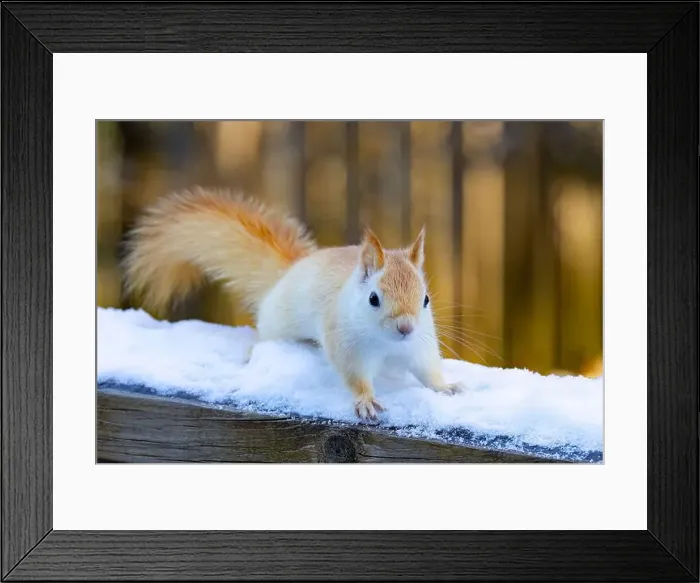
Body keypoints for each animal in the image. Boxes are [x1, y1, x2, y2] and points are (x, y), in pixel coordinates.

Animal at [122, 187, 464, 420]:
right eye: (373, 299)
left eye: (426, 299)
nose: (405, 327)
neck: (387, 344)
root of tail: (288, 273)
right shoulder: (346, 343)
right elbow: (355, 376)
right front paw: (366, 401)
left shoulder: (419, 345)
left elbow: (428, 370)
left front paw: (445, 387)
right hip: (276, 325)